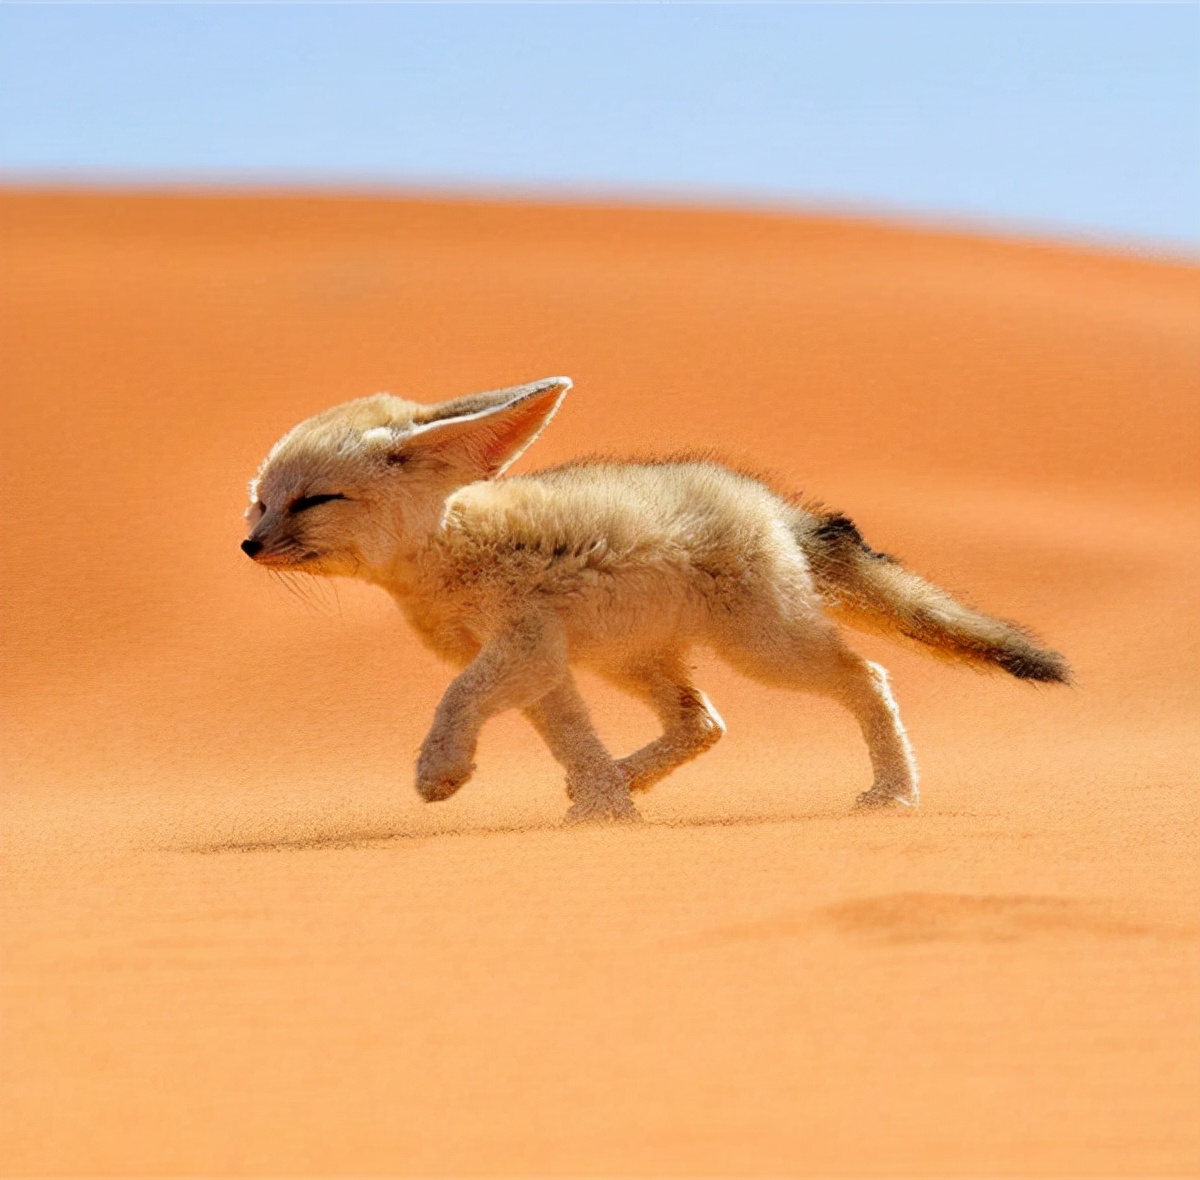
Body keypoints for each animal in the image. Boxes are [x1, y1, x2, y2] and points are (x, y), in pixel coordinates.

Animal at [243, 379, 1070, 821]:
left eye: (314, 501)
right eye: (261, 503)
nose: (248, 546)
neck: (450, 547)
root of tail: (769, 502)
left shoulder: (521, 648)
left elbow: (457, 698)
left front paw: (441, 770)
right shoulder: (543, 664)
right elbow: (571, 739)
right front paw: (606, 807)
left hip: (765, 650)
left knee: (866, 676)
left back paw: (894, 791)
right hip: (632, 661)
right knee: (703, 723)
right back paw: (626, 779)